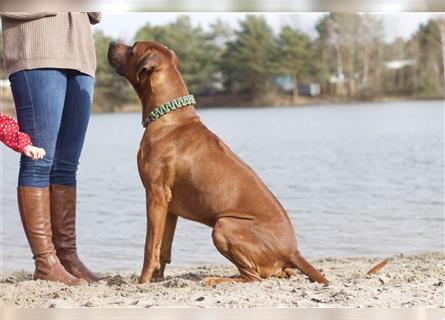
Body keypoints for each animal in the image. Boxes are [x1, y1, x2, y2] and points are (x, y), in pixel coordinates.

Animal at [108, 40, 330, 284]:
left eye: (133, 47)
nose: (110, 43)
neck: (169, 117)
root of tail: (293, 251)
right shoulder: (169, 206)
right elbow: (164, 247)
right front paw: (158, 279)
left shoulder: (155, 195)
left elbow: (150, 246)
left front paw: (143, 281)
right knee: (277, 273)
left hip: (224, 225)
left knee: (253, 277)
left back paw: (218, 279)